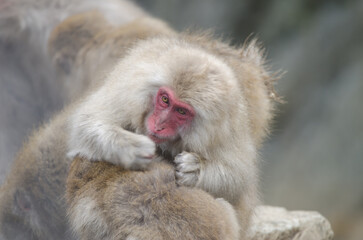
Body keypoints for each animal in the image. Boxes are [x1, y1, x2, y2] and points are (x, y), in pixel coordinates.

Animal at [0, 0, 278, 239]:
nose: (159, 125)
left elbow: (237, 173)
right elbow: (86, 124)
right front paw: (130, 148)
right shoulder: (128, 90)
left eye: (181, 112)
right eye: (164, 100)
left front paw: (194, 168)